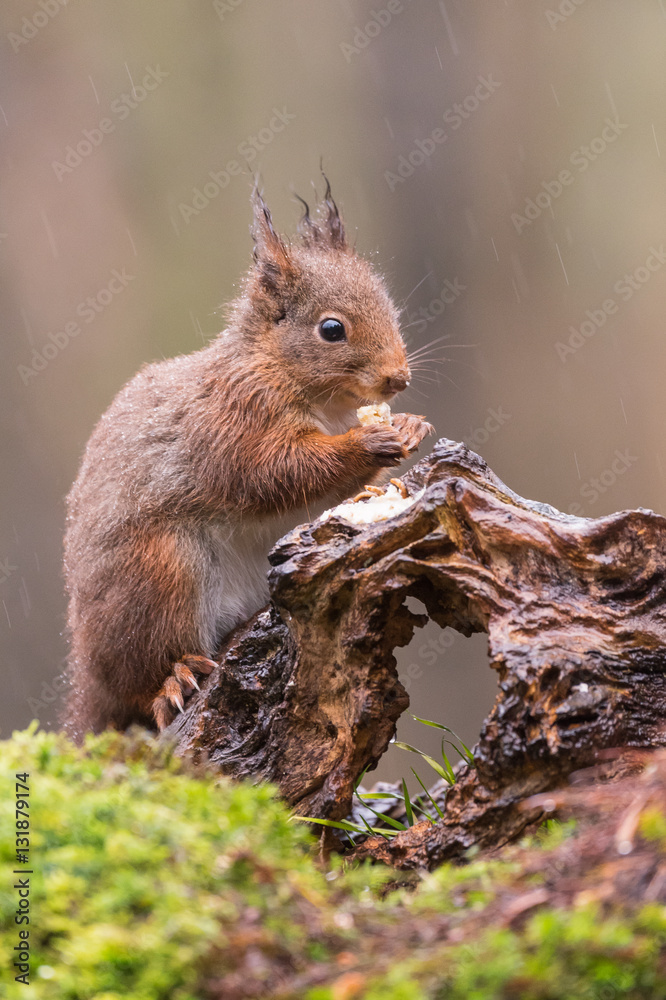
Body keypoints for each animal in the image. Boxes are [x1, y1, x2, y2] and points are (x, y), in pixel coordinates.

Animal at [62, 180, 434, 738]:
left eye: (391, 310)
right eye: (331, 329)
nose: (398, 379)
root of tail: (88, 678)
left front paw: (408, 427)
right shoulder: (236, 420)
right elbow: (272, 473)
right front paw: (365, 444)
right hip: (159, 573)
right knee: (140, 677)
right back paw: (171, 679)